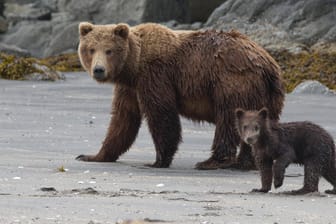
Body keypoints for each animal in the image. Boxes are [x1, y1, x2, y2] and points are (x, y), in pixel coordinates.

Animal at [75, 23, 284, 170]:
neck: (133, 66)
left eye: (109, 50)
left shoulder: (156, 75)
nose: (99, 70)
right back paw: (245, 162)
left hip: (232, 81)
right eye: (91, 49)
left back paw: (211, 161)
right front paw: (93, 156)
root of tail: (268, 63)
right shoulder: (129, 88)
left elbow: (161, 114)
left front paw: (158, 161)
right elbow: (123, 119)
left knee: (227, 119)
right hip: (267, 95)